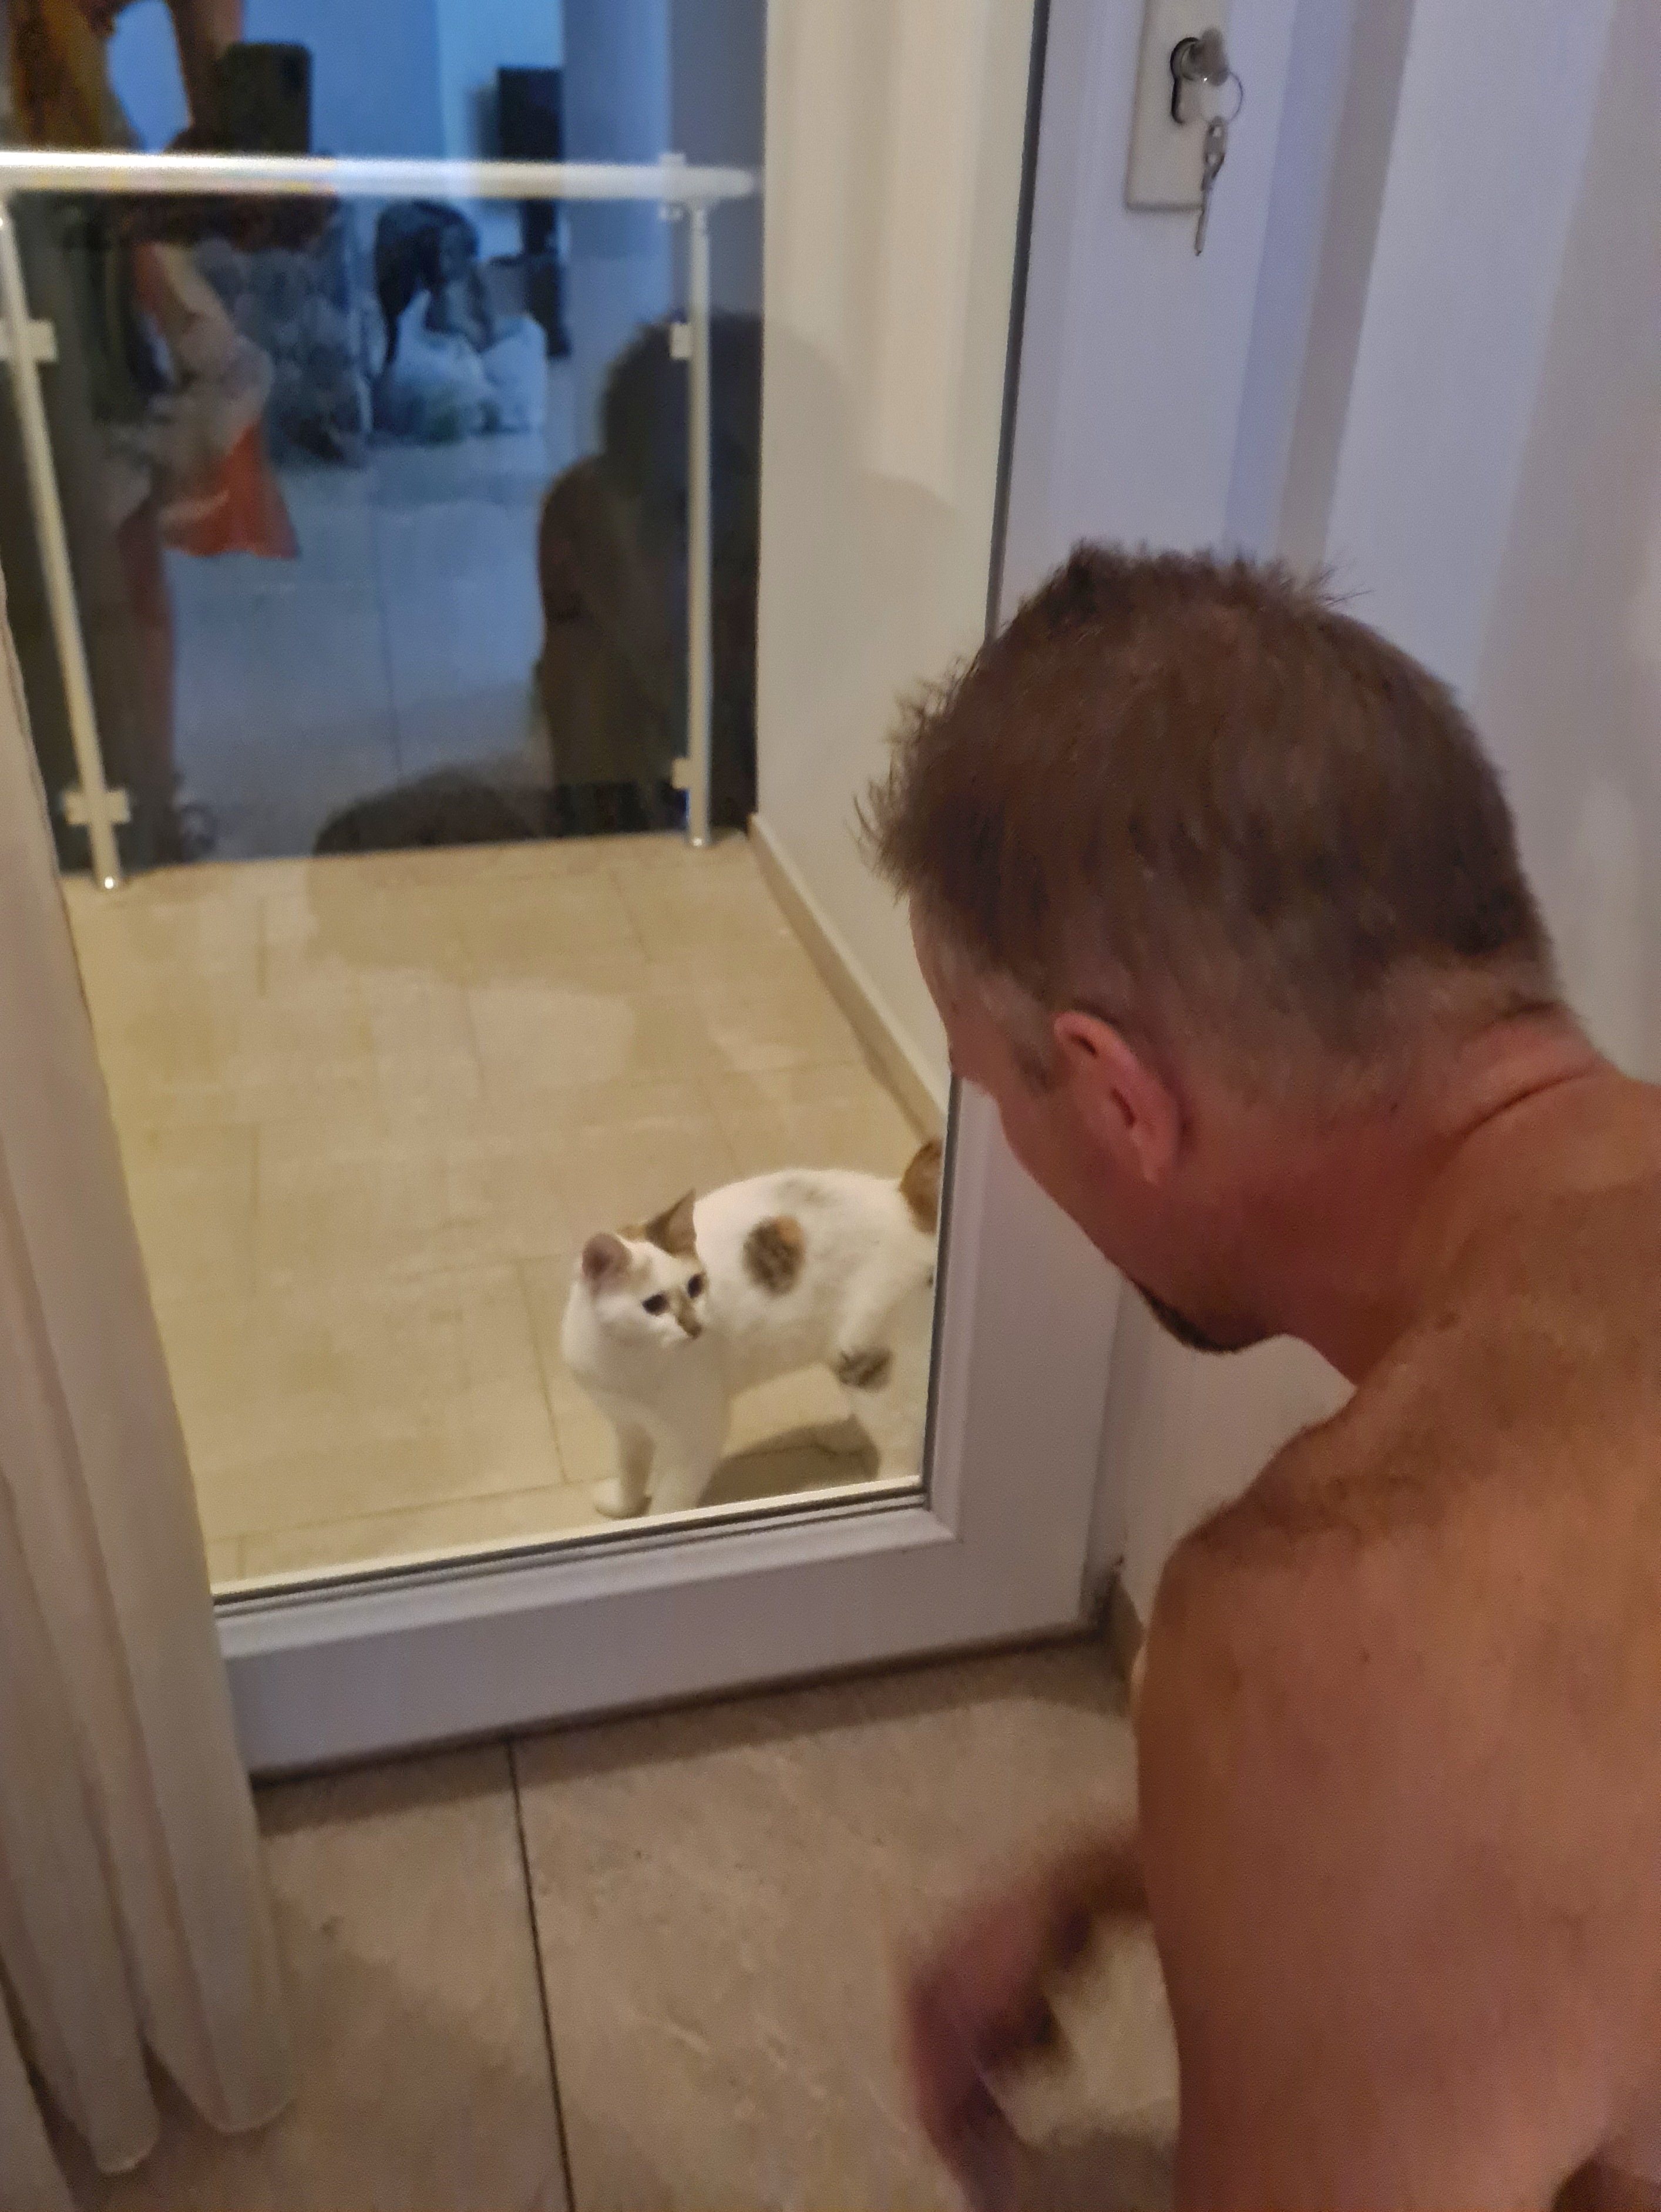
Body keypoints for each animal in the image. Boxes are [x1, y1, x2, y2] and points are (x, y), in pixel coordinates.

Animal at [561, 1139, 943, 1518]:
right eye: (654, 1305)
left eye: (695, 1286)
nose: (696, 1327)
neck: (627, 1358)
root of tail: (902, 1198)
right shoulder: (626, 1424)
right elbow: (631, 1468)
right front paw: (621, 1506)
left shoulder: (697, 1438)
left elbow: (671, 1504)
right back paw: (846, 1437)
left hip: (869, 1356)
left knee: (903, 1434)